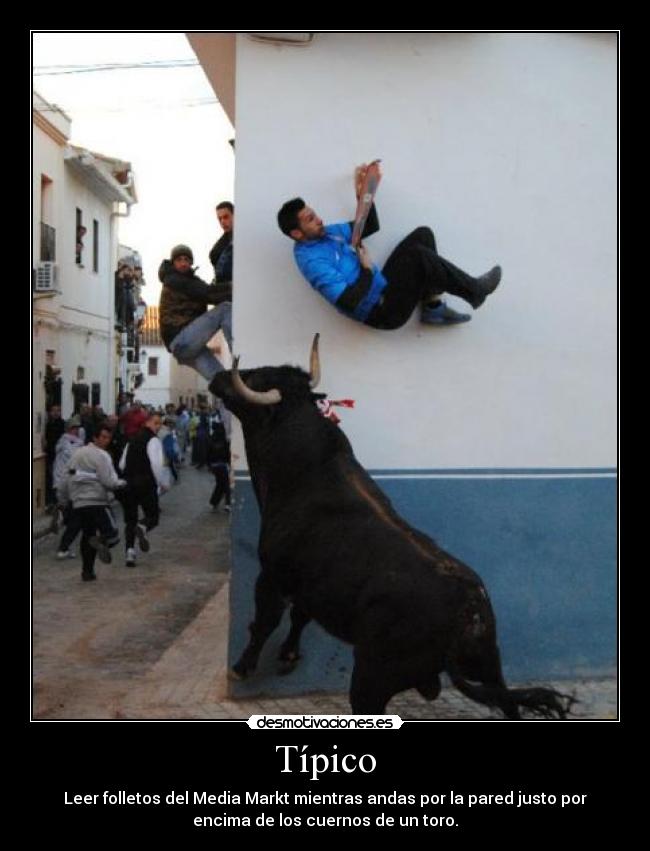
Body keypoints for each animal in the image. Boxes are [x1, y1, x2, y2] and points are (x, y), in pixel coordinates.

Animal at [209, 340, 572, 720]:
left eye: (256, 377)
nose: (218, 377)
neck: (307, 467)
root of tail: (467, 613)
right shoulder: (309, 585)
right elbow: (300, 616)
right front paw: (288, 656)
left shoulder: (271, 572)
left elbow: (266, 620)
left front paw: (243, 666)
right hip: (489, 667)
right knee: (506, 702)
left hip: (371, 680)